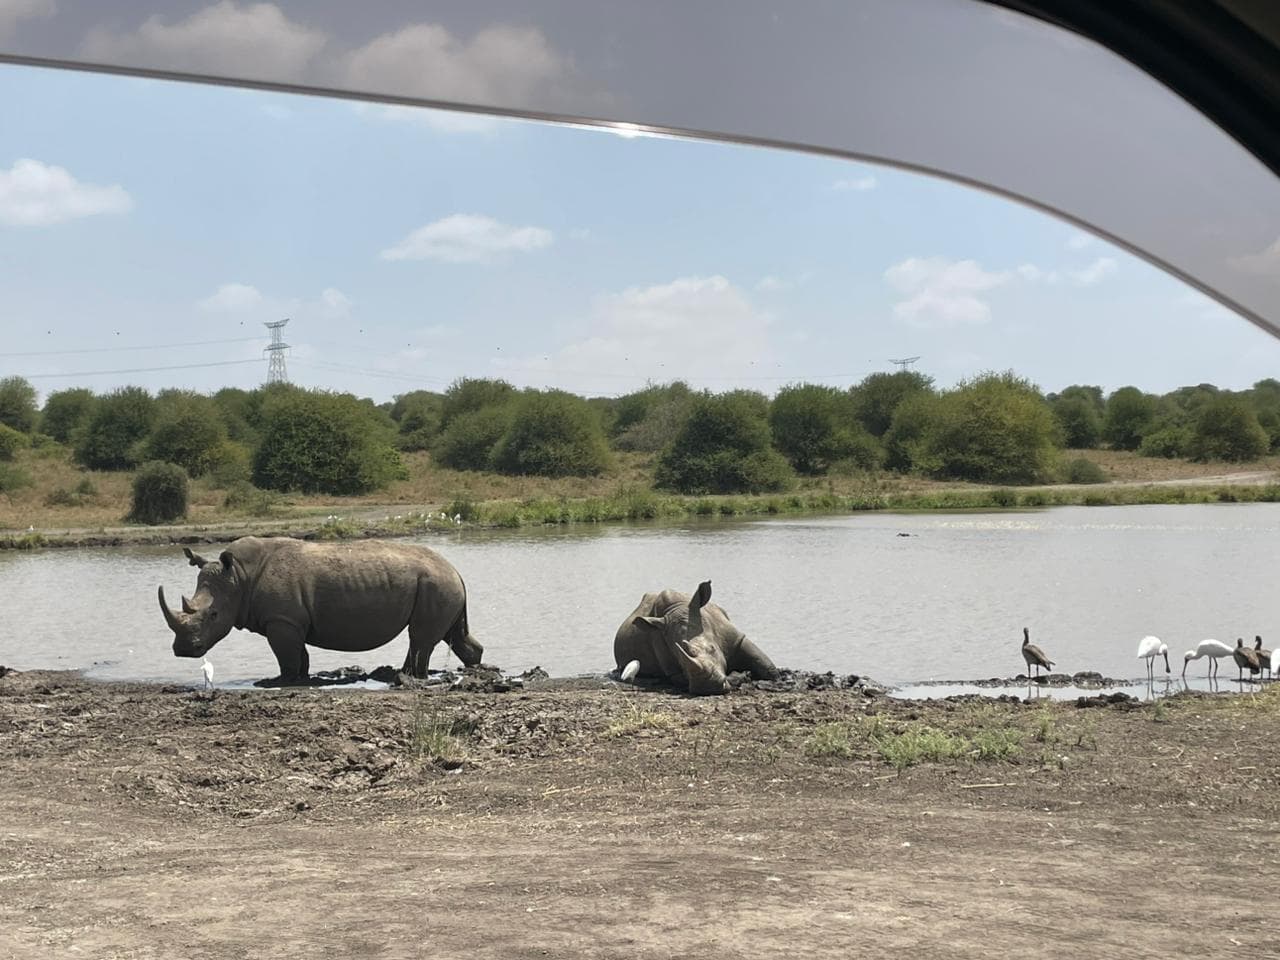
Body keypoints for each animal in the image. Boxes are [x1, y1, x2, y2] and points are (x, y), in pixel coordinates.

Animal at [158, 536, 482, 683]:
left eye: (213, 616)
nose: (182, 650)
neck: (238, 577)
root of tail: (455, 570)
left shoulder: (282, 621)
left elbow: (287, 658)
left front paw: (281, 682)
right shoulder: (290, 621)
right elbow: (299, 656)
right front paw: (301, 679)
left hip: (435, 583)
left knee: (421, 638)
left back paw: (409, 677)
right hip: (439, 584)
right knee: (451, 635)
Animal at [613, 580, 779, 695]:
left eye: (712, 649)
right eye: (680, 661)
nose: (708, 688)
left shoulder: (734, 637)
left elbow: (761, 660)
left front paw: (773, 678)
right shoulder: (668, 660)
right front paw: (740, 676)